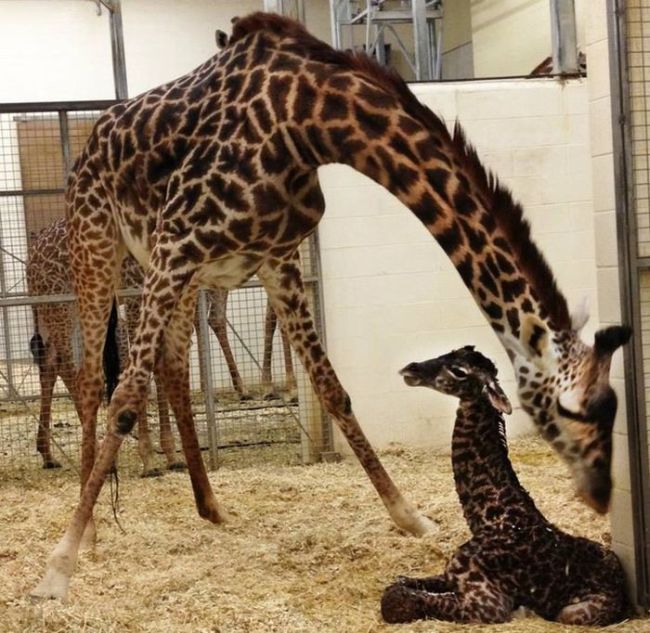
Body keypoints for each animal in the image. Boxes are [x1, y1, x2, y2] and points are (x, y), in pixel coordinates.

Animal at [31, 13, 628, 596]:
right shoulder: (180, 241)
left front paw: (410, 516)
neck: (307, 123)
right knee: (91, 379)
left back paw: (211, 506)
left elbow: (332, 388)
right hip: (100, 243)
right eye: (577, 411)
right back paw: (89, 527)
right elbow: (125, 397)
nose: (600, 496)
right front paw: (59, 566)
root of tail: (91, 138)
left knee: (173, 369)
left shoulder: (273, 259)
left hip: (179, 274)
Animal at [380, 348, 624, 624]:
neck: (491, 519)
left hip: (570, 613)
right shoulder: (450, 576)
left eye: (459, 371)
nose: (411, 369)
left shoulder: (487, 604)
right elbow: (398, 582)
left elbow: (395, 598)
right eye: (449, 352)